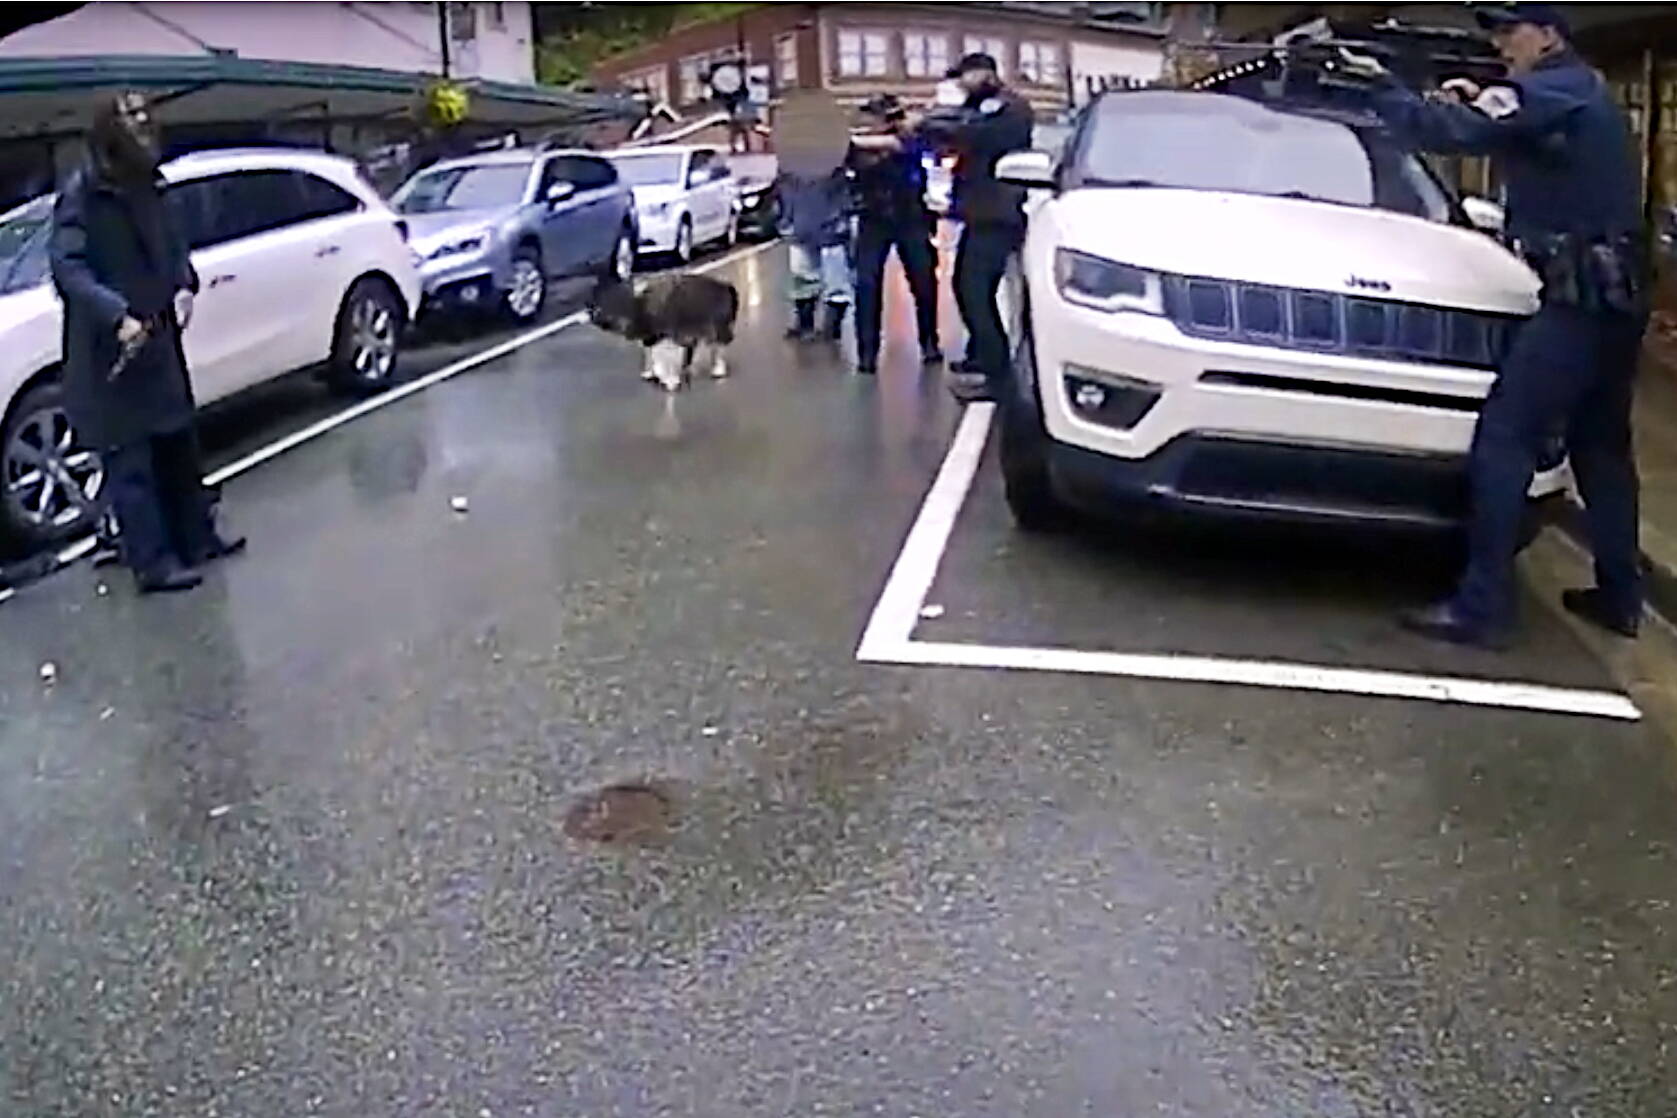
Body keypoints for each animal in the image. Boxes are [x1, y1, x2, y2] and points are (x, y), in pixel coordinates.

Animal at [593, 273, 744, 392]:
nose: (599, 319)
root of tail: (727, 287)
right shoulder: (657, 337)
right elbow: (651, 353)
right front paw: (651, 373)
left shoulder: (668, 337)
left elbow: (665, 357)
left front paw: (669, 380)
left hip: (718, 330)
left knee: (717, 347)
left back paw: (717, 370)